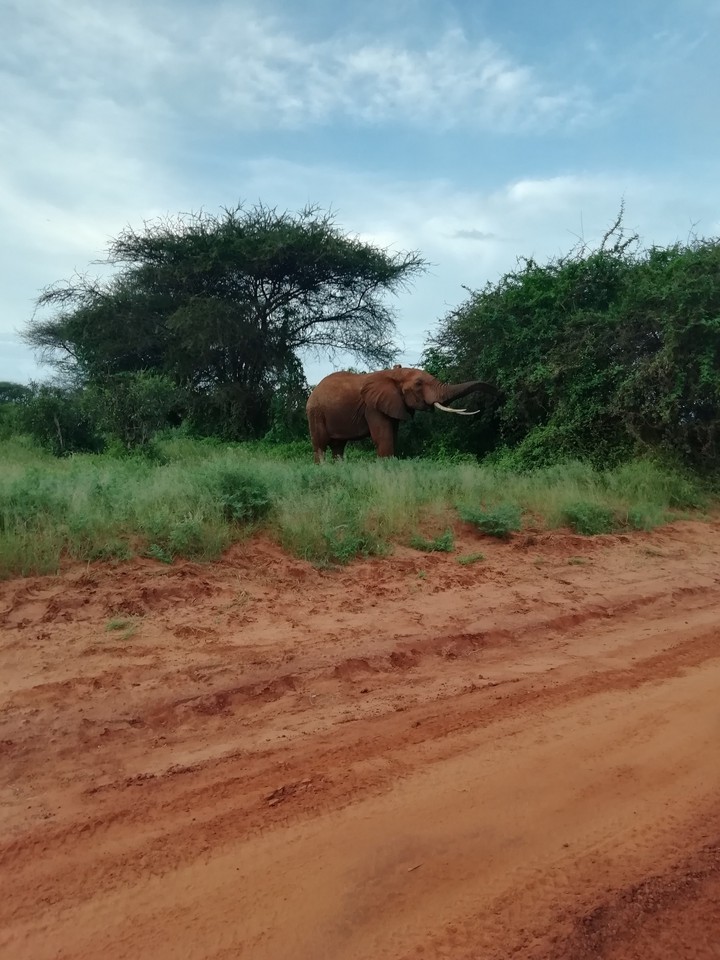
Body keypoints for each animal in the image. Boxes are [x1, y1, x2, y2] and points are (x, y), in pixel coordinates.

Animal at [305, 365, 495, 462]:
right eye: (418, 384)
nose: (498, 393)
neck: (393, 373)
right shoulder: (372, 406)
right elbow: (384, 438)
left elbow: (392, 436)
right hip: (316, 412)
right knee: (320, 445)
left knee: (338, 447)